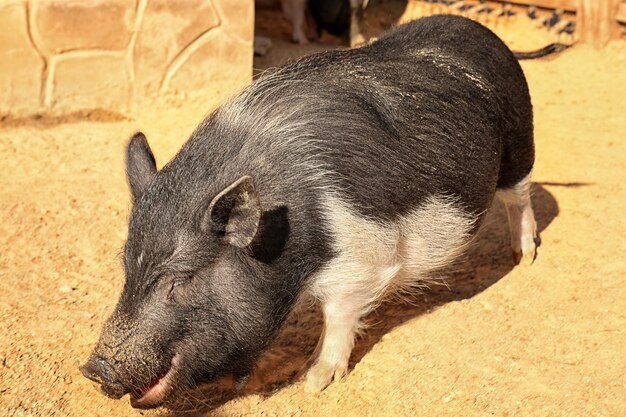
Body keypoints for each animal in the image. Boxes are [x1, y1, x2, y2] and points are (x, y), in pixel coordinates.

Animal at [79, 14, 536, 408]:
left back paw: (524, 256)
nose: (95, 368)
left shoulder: (364, 258)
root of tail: (482, 31)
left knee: (520, 195)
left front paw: (312, 382)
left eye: (180, 280)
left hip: (520, 142)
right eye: (126, 268)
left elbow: (338, 315)